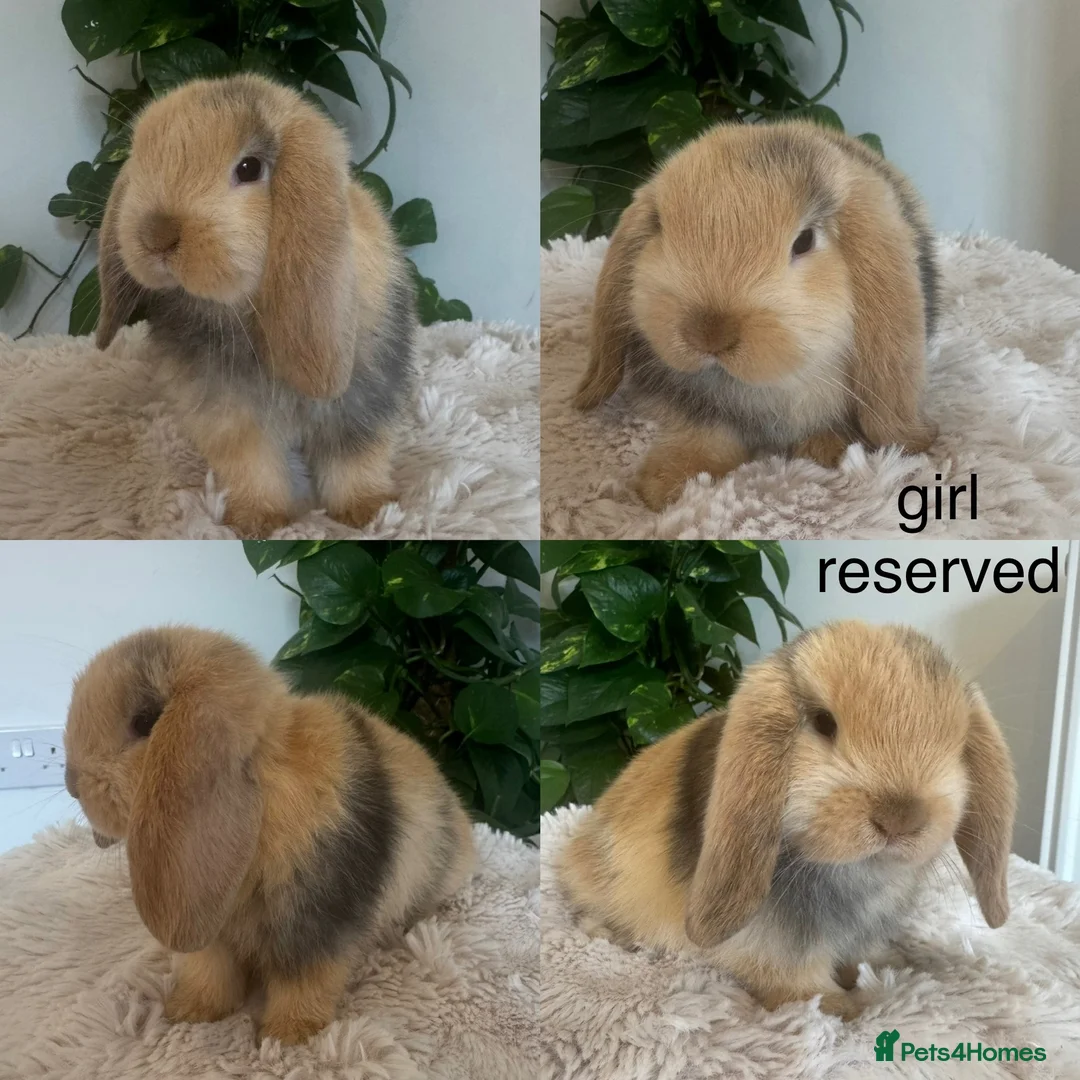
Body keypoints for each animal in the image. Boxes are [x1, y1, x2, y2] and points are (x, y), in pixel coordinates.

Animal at [63, 626, 474, 1044]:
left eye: (146, 720)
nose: (71, 783)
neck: (268, 786)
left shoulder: (316, 925)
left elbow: (304, 983)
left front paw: (286, 1036)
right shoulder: (215, 934)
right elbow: (209, 973)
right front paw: (189, 1013)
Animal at [94, 73, 416, 537]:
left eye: (249, 169)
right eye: (139, 158)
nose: (155, 236)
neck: (246, 313)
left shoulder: (361, 402)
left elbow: (356, 459)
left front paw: (367, 513)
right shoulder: (230, 416)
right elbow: (252, 467)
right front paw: (256, 522)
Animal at [557, 621, 1015, 1019]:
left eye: (957, 742)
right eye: (824, 723)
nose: (900, 818)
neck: (854, 873)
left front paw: (862, 973)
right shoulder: (774, 943)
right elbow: (792, 980)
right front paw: (844, 1007)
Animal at [574, 120, 940, 511]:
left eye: (805, 241)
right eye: (658, 225)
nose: (708, 334)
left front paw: (826, 451)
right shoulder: (707, 411)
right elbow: (710, 439)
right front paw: (663, 486)